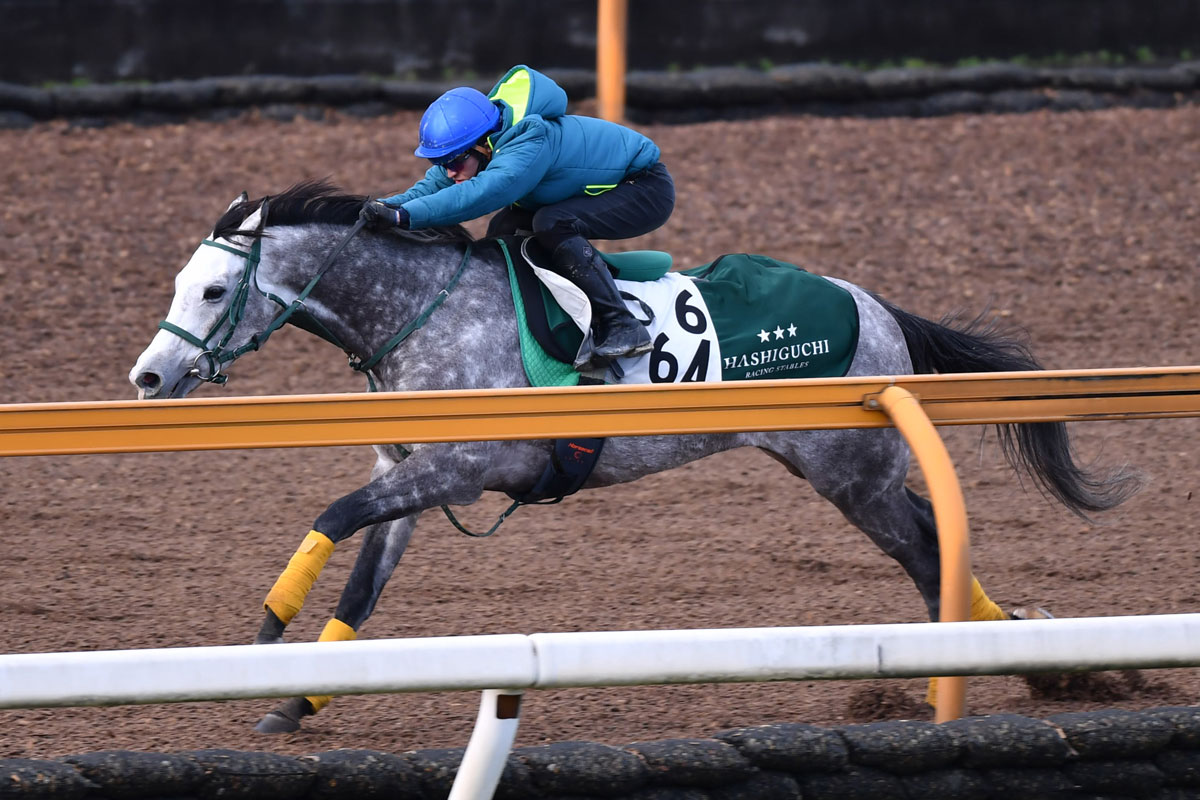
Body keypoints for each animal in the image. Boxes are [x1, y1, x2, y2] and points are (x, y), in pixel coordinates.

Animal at [128, 180, 1139, 733]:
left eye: (214, 289)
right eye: (178, 281)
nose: (147, 376)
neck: (423, 313)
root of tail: (876, 304)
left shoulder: (458, 469)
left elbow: (329, 518)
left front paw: (266, 634)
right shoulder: (409, 476)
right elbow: (362, 587)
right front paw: (295, 698)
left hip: (849, 473)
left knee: (927, 547)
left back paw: (970, 662)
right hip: (846, 470)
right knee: (932, 540)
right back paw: (1010, 644)